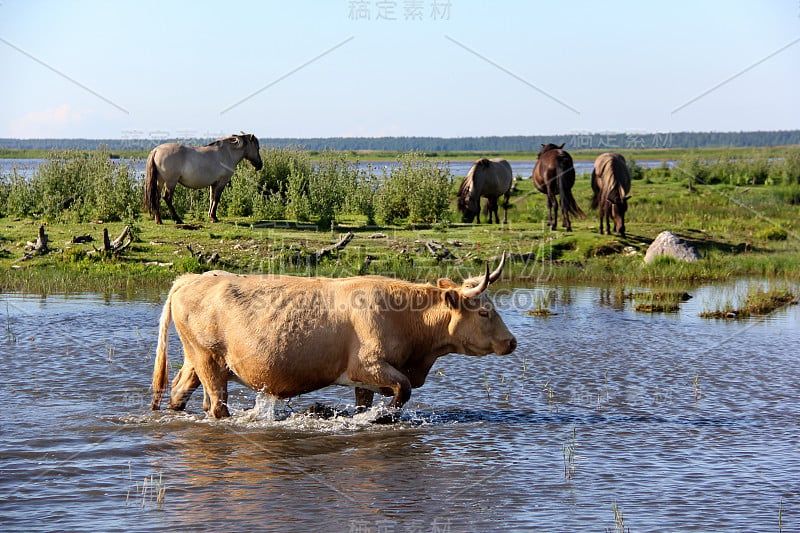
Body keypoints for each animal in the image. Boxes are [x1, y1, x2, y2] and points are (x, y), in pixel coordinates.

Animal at [152, 256, 516, 418]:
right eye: (484, 313)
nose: (511, 341)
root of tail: (189, 278)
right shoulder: (367, 365)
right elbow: (403, 391)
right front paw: (383, 417)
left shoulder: (366, 379)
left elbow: (366, 402)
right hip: (209, 360)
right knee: (217, 406)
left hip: (197, 361)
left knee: (180, 392)